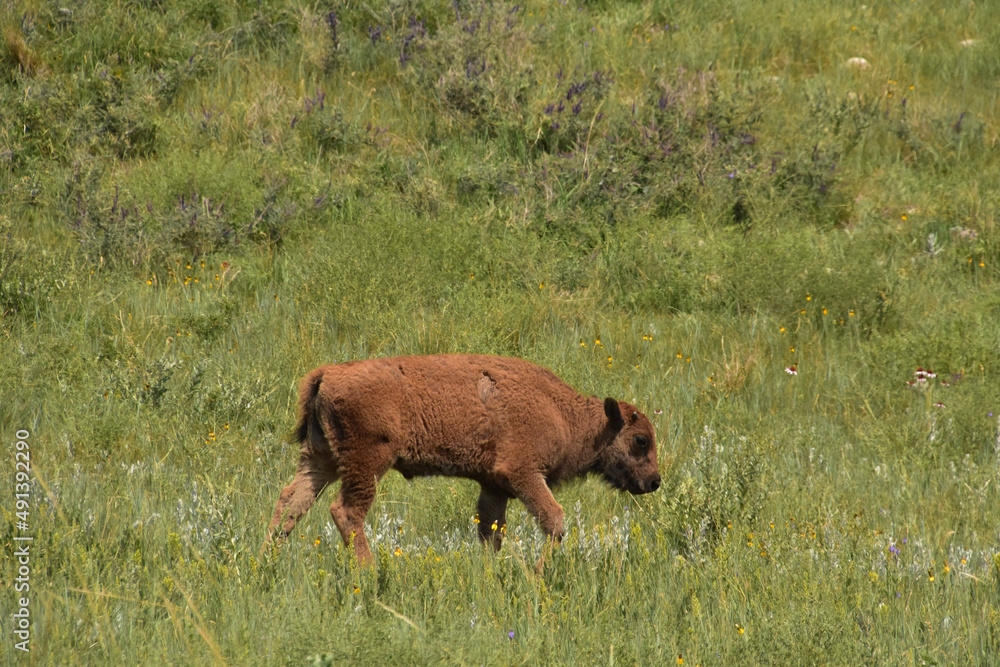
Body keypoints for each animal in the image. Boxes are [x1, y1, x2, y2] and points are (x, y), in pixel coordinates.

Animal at [264, 354, 661, 564]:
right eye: (641, 440)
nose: (654, 482)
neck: (563, 412)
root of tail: (328, 373)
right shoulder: (523, 474)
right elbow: (554, 520)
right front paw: (539, 571)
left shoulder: (494, 486)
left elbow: (490, 532)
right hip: (367, 463)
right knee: (346, 511)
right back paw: (369, 570)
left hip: (321, 460)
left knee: (290, 502)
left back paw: (267, 560)